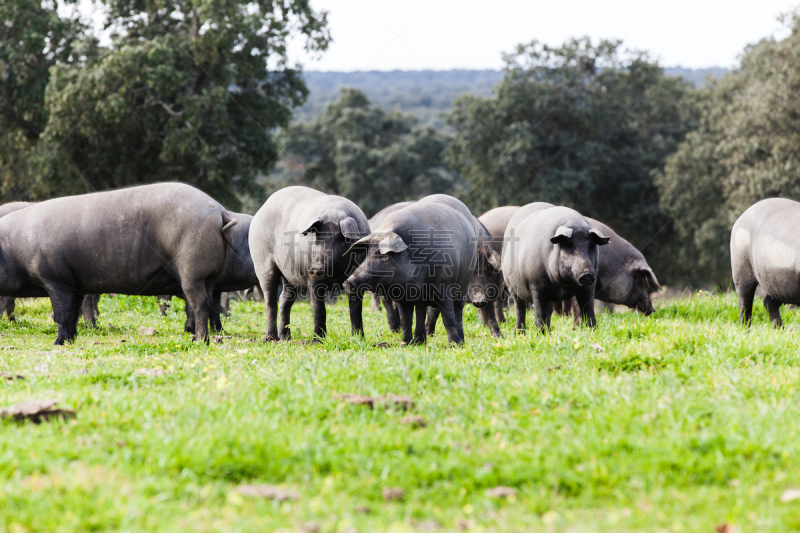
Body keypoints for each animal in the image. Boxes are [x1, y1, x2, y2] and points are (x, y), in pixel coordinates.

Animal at [0, 181, 238, 342]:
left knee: (199, 304)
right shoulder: (74, 283)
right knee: (210, 301)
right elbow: (72, 314)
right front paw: (69, 341)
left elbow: (62, 313)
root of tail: (220, 212)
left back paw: (198, 341)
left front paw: (58, 343)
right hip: (210, 275)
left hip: (192, 270)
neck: (15, 248)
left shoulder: (55, 278)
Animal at [248, 185, 370, 338]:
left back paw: (285, 338)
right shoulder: (311, 279)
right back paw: (270, 338)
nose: (316, 267)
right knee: (270, 301)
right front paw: (317, 340)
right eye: (318, 237)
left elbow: (356, 310)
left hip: (290, 275)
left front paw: (359, 338)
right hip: (262, 263)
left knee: (284, 299)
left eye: (340, 238)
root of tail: (262, 208)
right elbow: (319, 309)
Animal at [342, 201, 476, 344]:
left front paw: (454, 345)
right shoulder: (403, 296)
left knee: (458, 311)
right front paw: (405, 344)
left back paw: (461, 341)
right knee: (420, 312)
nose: (348, 282)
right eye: (367, 254)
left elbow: (448, 318)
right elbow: (406, 320)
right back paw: (419, 342)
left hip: (463, 286)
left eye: (384, 256)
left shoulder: (444, 286)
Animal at [504, 202, 608, 330]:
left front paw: (592, 330)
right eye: (568, 245)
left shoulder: (589, 286)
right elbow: (540, 314)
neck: (562, 286)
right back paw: (519, 332)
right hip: (511, 285)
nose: (586, 273)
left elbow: (588, 310)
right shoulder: (536, 285)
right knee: (520, 308)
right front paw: (541, 334)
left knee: (548, 311)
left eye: (591, 245)